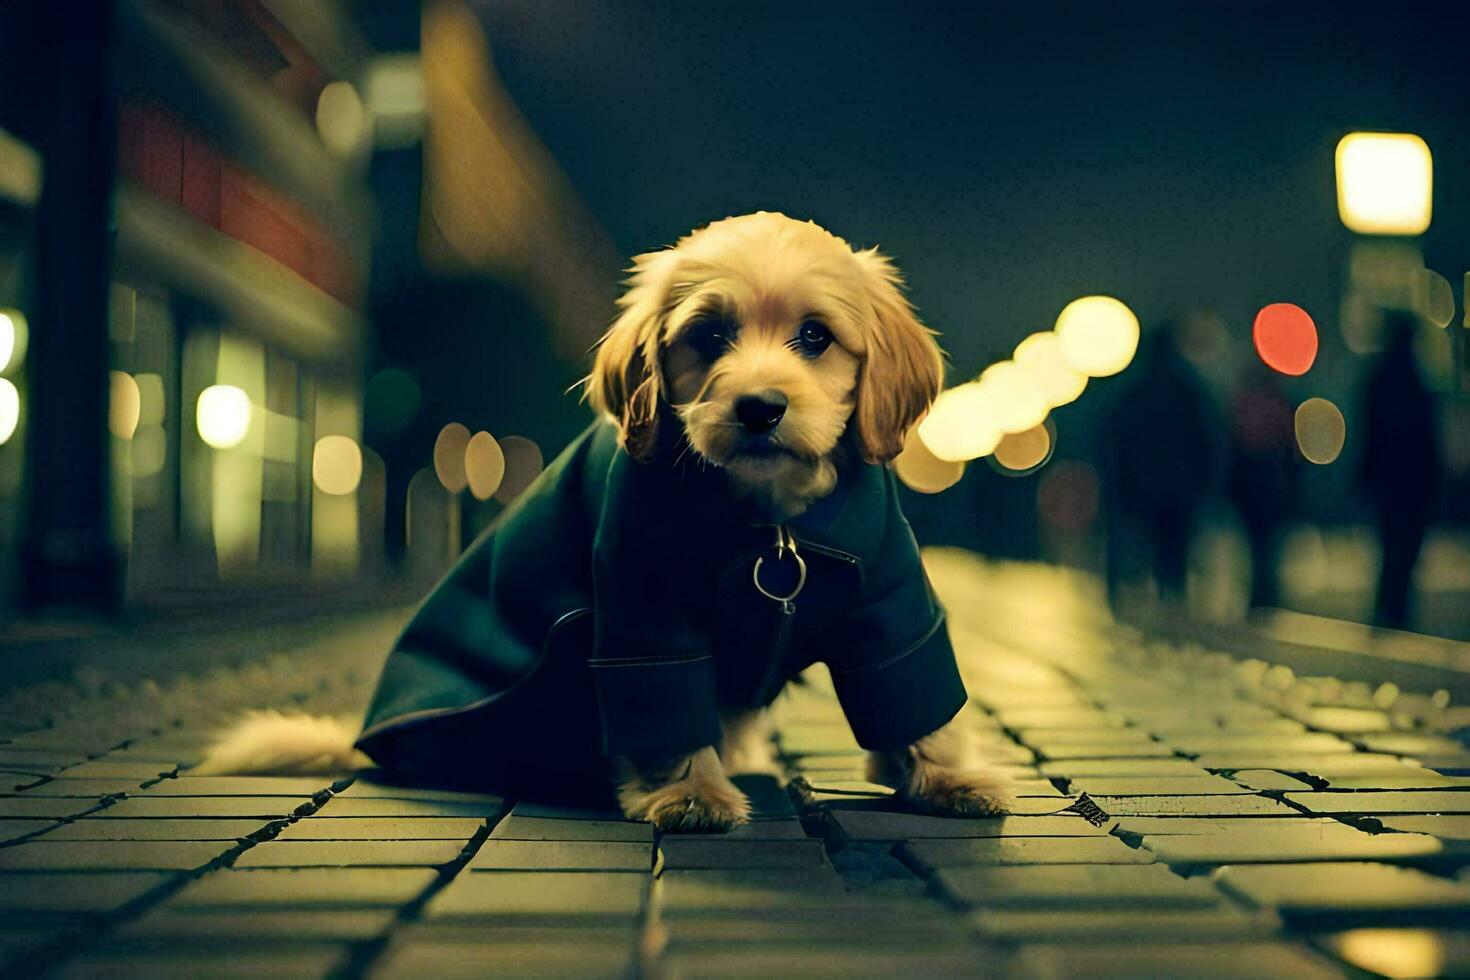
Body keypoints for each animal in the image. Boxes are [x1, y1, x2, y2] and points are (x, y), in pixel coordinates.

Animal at [201, 213, 1017, 828]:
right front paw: (689, 790)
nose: (759, 408)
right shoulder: (642, 609)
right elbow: (660, 697)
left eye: (815, 336)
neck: (768, 524)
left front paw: (949, 777)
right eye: (709, 337)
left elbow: (913, 687)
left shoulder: (891, 602)